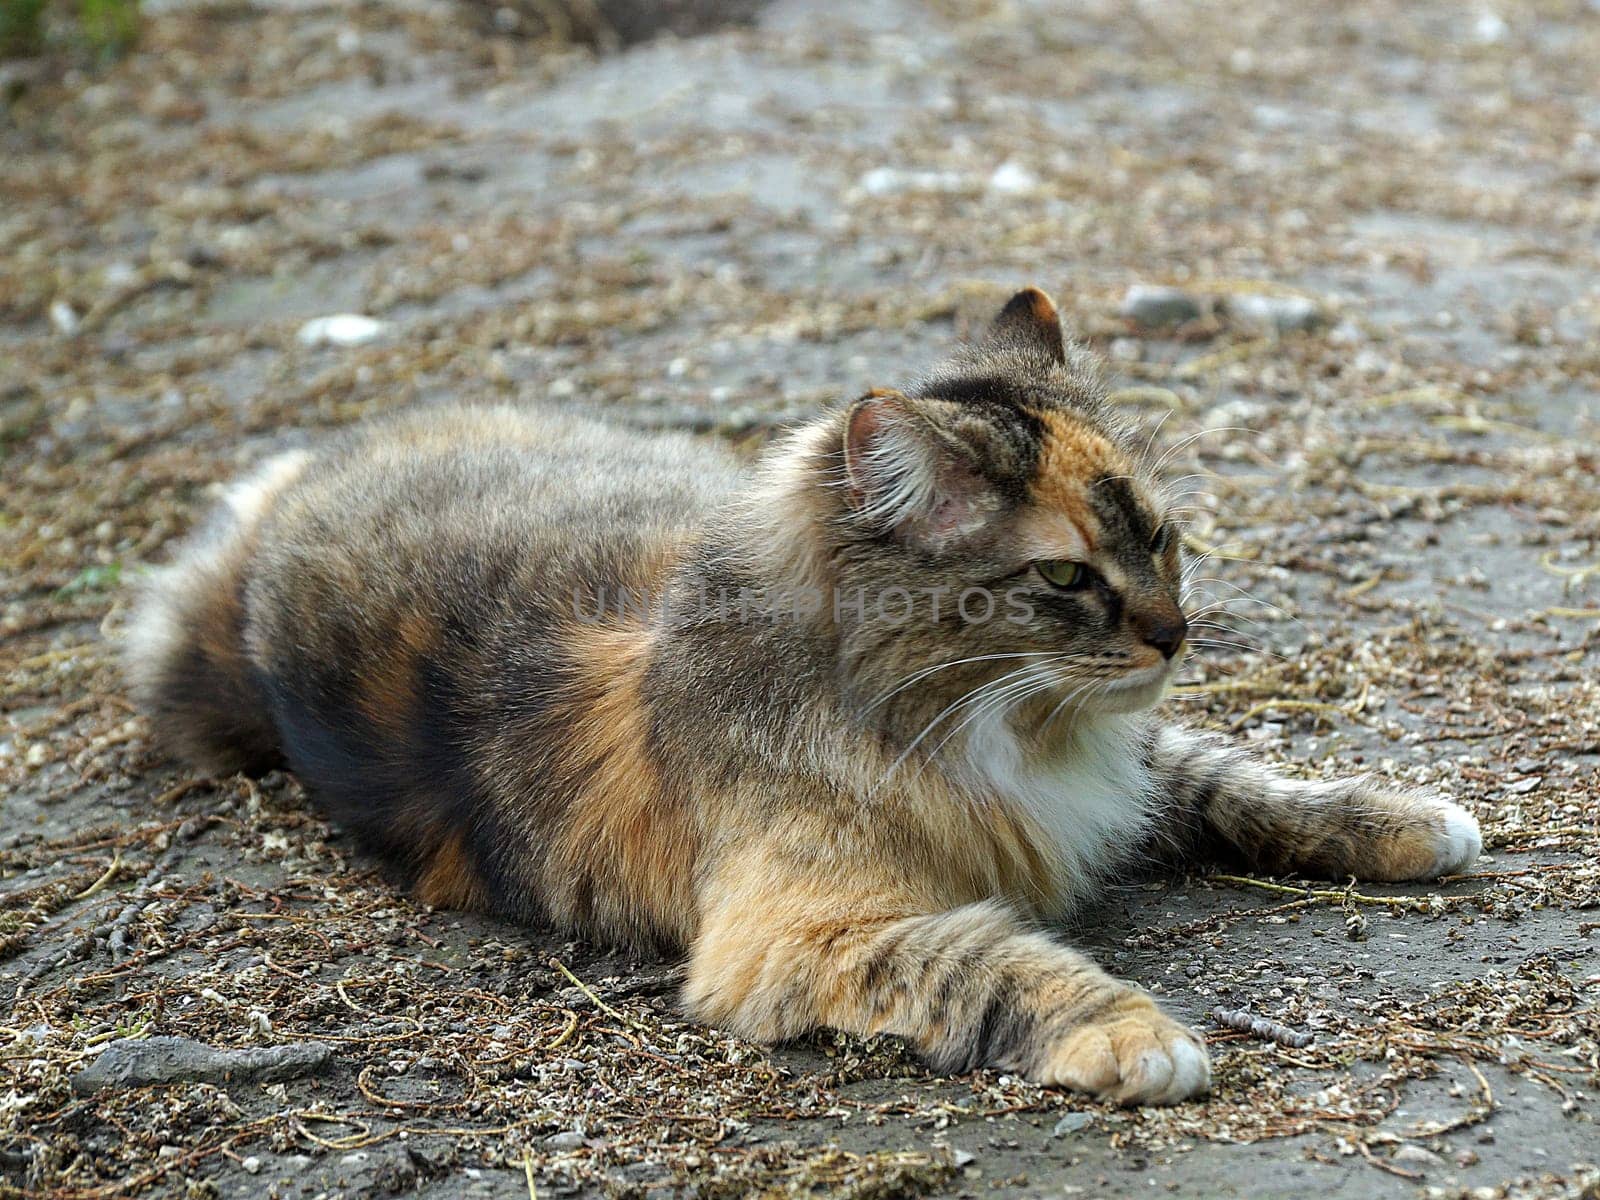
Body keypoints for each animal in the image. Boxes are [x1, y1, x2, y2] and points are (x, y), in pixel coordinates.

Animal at [118, 289, 1478, 1107]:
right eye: (1062, 577)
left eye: (1161, 538)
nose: (1173, 635)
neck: (989, 723)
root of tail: (289, 509)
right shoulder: (807, 932)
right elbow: (990, 960)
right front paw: (1137, 1036)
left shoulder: (1130, 768)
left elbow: (1243, 784)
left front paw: (1408, 822)